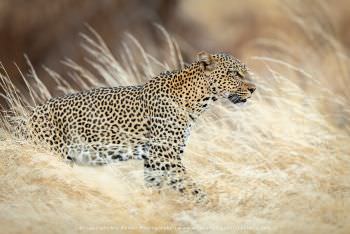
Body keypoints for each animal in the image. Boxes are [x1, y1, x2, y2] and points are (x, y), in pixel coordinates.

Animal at [22, 51, 258, 203]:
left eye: (244, 72)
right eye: (234, 73)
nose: (254, 89)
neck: (199, 100)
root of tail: (29, 116)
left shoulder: (154, 161)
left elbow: (159, 189)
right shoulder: (164, 155)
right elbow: (193, 189)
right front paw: (212, 209)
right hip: (51, 155)